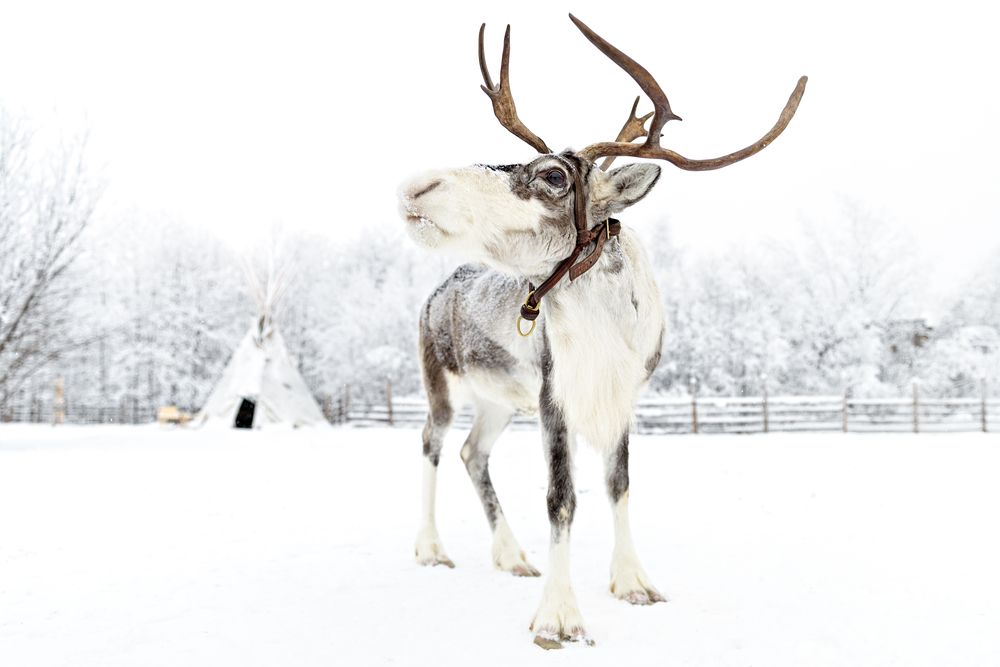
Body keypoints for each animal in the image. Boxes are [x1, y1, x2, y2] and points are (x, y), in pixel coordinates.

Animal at [397, 14, 806, 648]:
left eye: (553, 175)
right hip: (439, 381)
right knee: (431, 443)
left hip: (498, 400)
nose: (418, 186)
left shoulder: (624, 397)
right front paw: (559, 617)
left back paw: (512, 556)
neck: (607, 330)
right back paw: (432, 548)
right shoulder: (554, 396)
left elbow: (619, 483)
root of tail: (436, 292)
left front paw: (634, 582)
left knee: (471, 452)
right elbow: (561, 498)